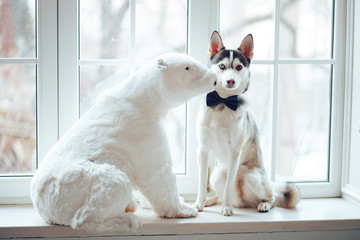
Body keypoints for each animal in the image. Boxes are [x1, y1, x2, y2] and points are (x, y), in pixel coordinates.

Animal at [195, 31, 300, 217]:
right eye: (221, 66)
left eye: (238, 67)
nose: (230, 81)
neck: (222, 102)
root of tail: (241, 201)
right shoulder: (203, 148)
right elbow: (201, 182)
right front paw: (199, 203)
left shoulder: (234, 151)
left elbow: (229, 185)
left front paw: (226, 208)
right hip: (217, 174)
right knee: (221, 193)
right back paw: (212, 200)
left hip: (254, 178)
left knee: (272, 198)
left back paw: (263, 205)